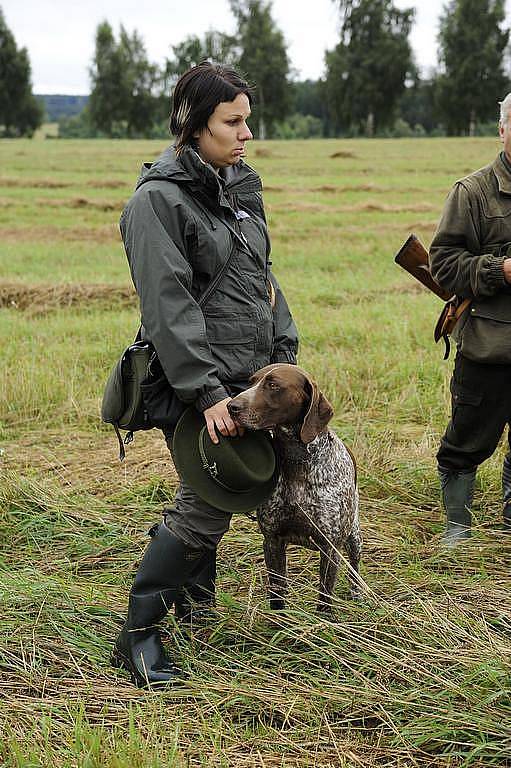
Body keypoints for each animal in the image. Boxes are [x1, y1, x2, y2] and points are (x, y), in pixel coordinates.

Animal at [226, 364, 362, 612]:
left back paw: (358, 594)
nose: (232, 406)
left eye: (273, 385)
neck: (297, 461)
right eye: (251, 382)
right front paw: (278, 621)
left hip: (354, 535)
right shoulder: (272, 541)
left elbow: (324, 598)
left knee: (355, 566)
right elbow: (277, 591)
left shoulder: (330, 547)